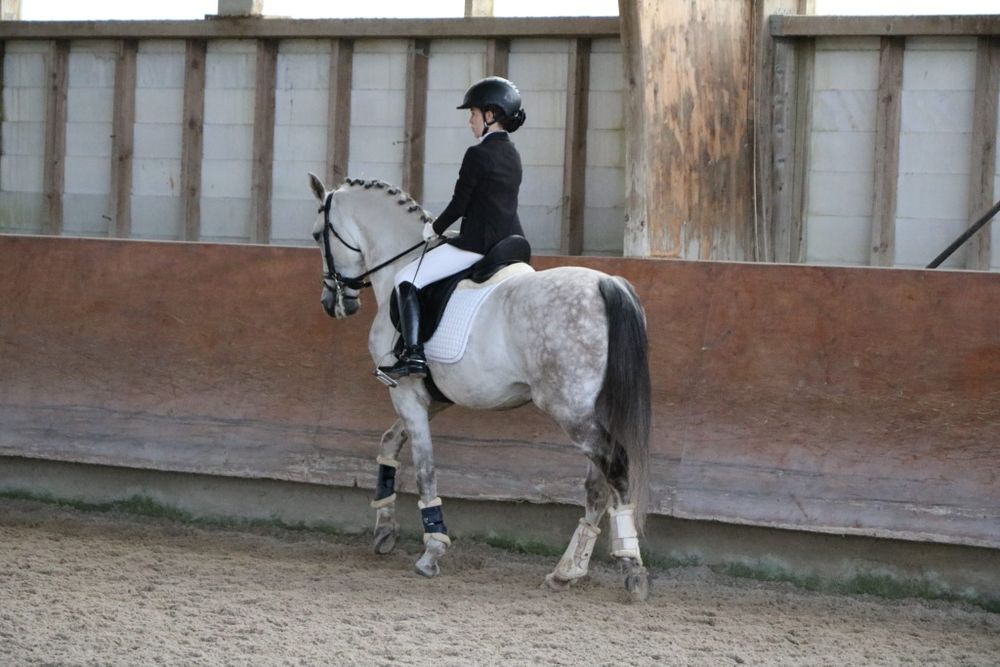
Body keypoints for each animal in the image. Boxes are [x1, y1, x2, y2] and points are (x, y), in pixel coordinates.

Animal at [308, 173, 652, 601]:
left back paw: (631, 569)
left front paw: (432, 551)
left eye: (317, 234)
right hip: (590, 411)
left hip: (571, 411)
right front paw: (385, 529)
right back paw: (566, 571)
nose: (334, 303)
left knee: (616, 468)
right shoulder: (430, 397)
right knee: (597, 484)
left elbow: (424, 469)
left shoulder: (405, 392)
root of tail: (607, 282)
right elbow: (389, 443)